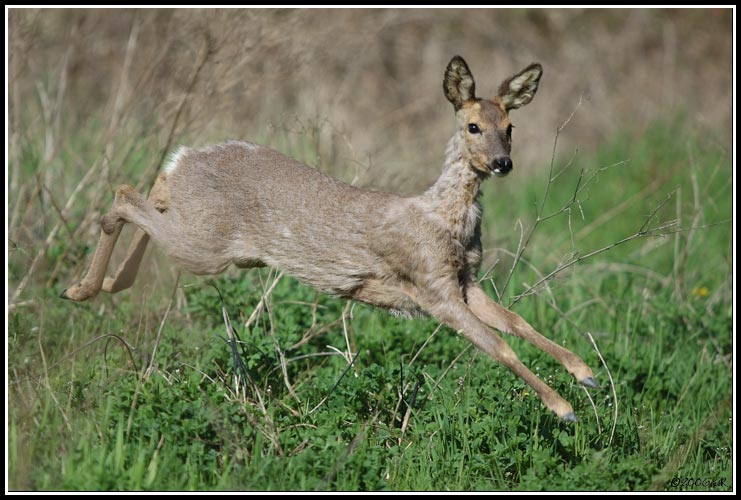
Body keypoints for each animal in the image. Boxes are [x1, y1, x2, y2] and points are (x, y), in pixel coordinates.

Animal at [60, 55, 600, 422]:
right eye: (472, 125)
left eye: (510, 127)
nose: (502, 163)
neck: (443, 221)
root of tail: (189, 155)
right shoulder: (432, 289)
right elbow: (499, 346)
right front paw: (563, 408)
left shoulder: (465, 283)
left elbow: (518, 324)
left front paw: (584, 372)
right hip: (206, 248)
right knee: (125, 195)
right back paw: (83, 289)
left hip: (201, 230)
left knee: (151, 190)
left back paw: (97, 285)